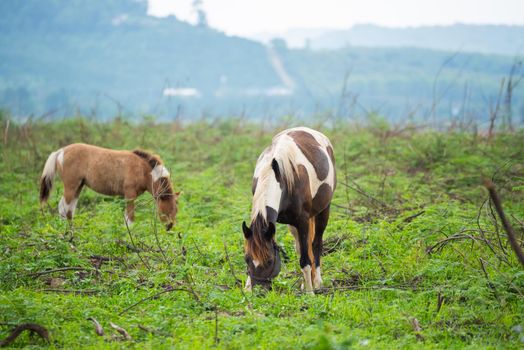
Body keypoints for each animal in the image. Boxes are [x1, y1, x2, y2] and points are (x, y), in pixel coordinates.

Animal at [39, 143, 180, 230]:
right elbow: (130, 218)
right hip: (71, 185)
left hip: (78, 186)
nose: (169, 227)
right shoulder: (130, 195)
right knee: (64, 208)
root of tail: (61, 151)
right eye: (165, 208)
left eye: (176, 209)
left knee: (69, 209)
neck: (142, 169)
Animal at [242, 126, 336, 292]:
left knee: (316, 244)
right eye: (247, 259)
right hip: (293, 226)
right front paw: (247, 288)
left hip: (323, 211)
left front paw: (310, 292)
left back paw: (317, 282)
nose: (258, 292)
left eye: (269, 261)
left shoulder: (302, 221)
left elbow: (305, 259)